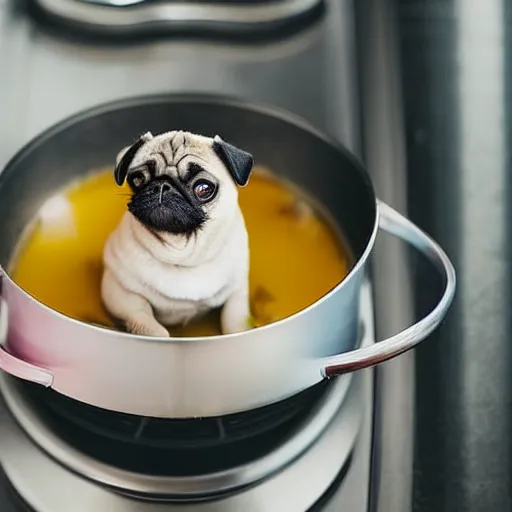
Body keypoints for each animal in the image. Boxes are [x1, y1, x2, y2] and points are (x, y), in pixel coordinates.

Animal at [100, 129, 254, 336]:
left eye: (203, 188)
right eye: (138, 179)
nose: (162, 186)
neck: (181, 254)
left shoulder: (237, 289)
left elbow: (236, 320)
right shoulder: (119, 291)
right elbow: (144, 319)